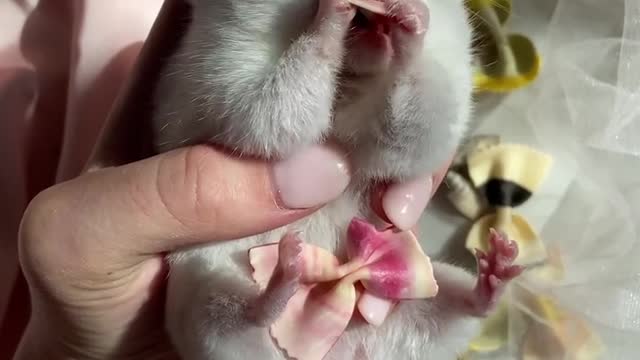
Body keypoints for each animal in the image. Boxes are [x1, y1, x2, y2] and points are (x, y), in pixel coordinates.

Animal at [152, 0, 524, 360]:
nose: (377, 21)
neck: (350, 76)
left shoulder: (405, 130)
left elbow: (408, 131)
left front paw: (411, 20)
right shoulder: (226, 74)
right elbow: (272, 106)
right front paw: (333, 14)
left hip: (430, 292)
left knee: (466, 307)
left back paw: (499, 264)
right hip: (202, 298)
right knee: (243, 316)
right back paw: (286, 271)